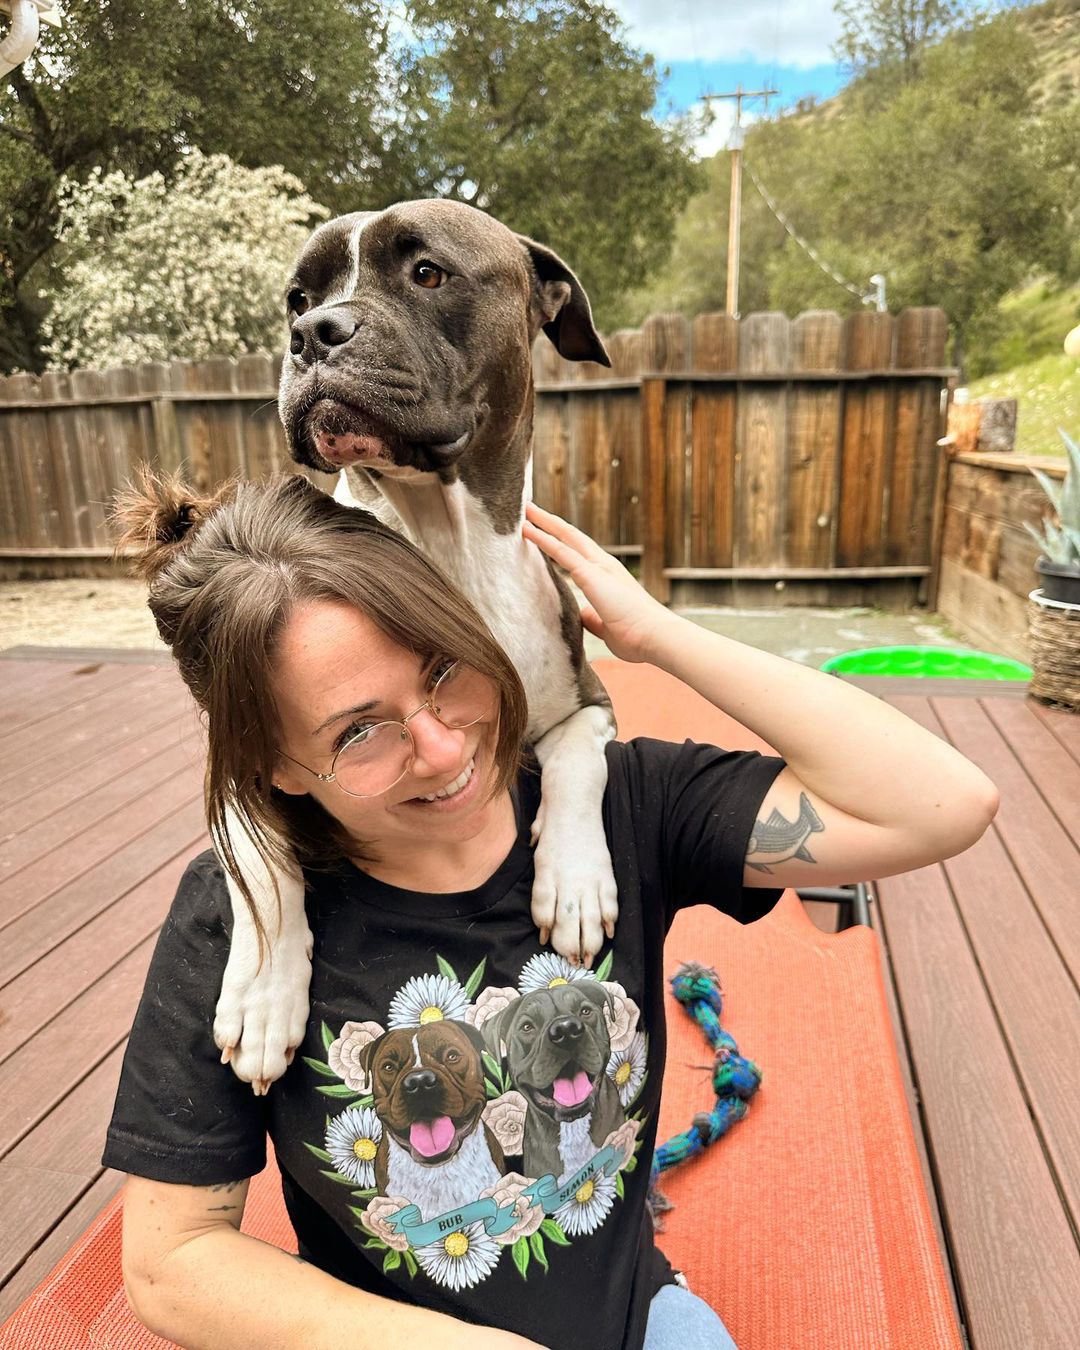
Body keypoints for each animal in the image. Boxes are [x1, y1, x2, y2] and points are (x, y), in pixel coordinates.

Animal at [214, 197, 621, 1085]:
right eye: (297, 299)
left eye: (427, 271)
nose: (313, 333)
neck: (447, 547)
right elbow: (260, 863)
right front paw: (262, 993)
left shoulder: (592, 701)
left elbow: (581, 761)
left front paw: (574, 878)